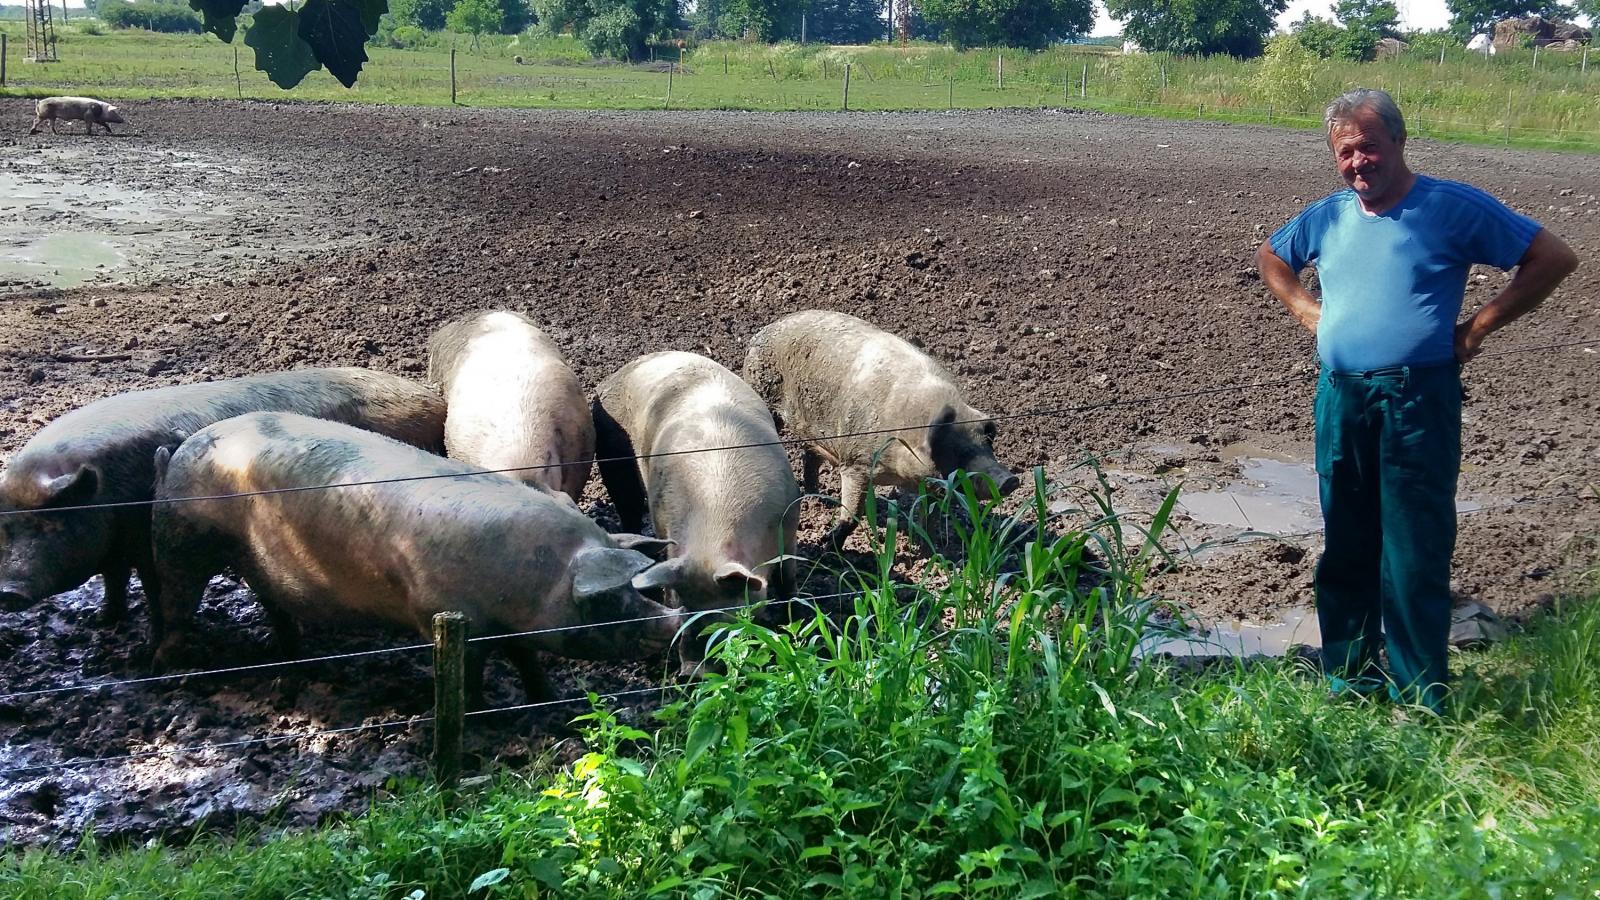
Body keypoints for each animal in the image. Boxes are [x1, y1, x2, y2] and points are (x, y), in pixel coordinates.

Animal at [0, 365, 444, 624]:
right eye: (4, 533)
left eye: (48, 525)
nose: (8, 592)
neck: (108, 494)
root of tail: (432, 397)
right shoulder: (115, 546)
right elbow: (113, 578)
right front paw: (102, 621)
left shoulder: (147, 537)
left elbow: (152, 586)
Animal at [142, 409, 681, 698]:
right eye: (605, 600)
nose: (675, 622)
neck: (531, 578)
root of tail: (175, 453)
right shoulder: (442, 617)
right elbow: (469, 676)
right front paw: (483, 713)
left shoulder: (512, 626)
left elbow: (528, 660)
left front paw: (549, 701)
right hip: (180, 537)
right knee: (177, 597)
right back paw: (169, 670)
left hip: (250, 563)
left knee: (274, 606)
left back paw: (301, 663)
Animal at [595, 353, 800, 662]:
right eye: (683, 609)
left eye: (729, 619)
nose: (692, 669)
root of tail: (617, 374)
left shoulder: (789, 523)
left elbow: (788, 578)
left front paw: (794, 619)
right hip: (612, 457)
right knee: (628, 509)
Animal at [742, 307, 1017, 547]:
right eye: (956, 451)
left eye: (987, 444)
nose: (1010, 479)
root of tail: (762, 331)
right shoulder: (855, 463)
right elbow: (852, 514)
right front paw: (827, 544)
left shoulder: (930, 484)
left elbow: (930, 518)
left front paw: (931, 548)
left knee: (809, 457)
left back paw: (817, 498)